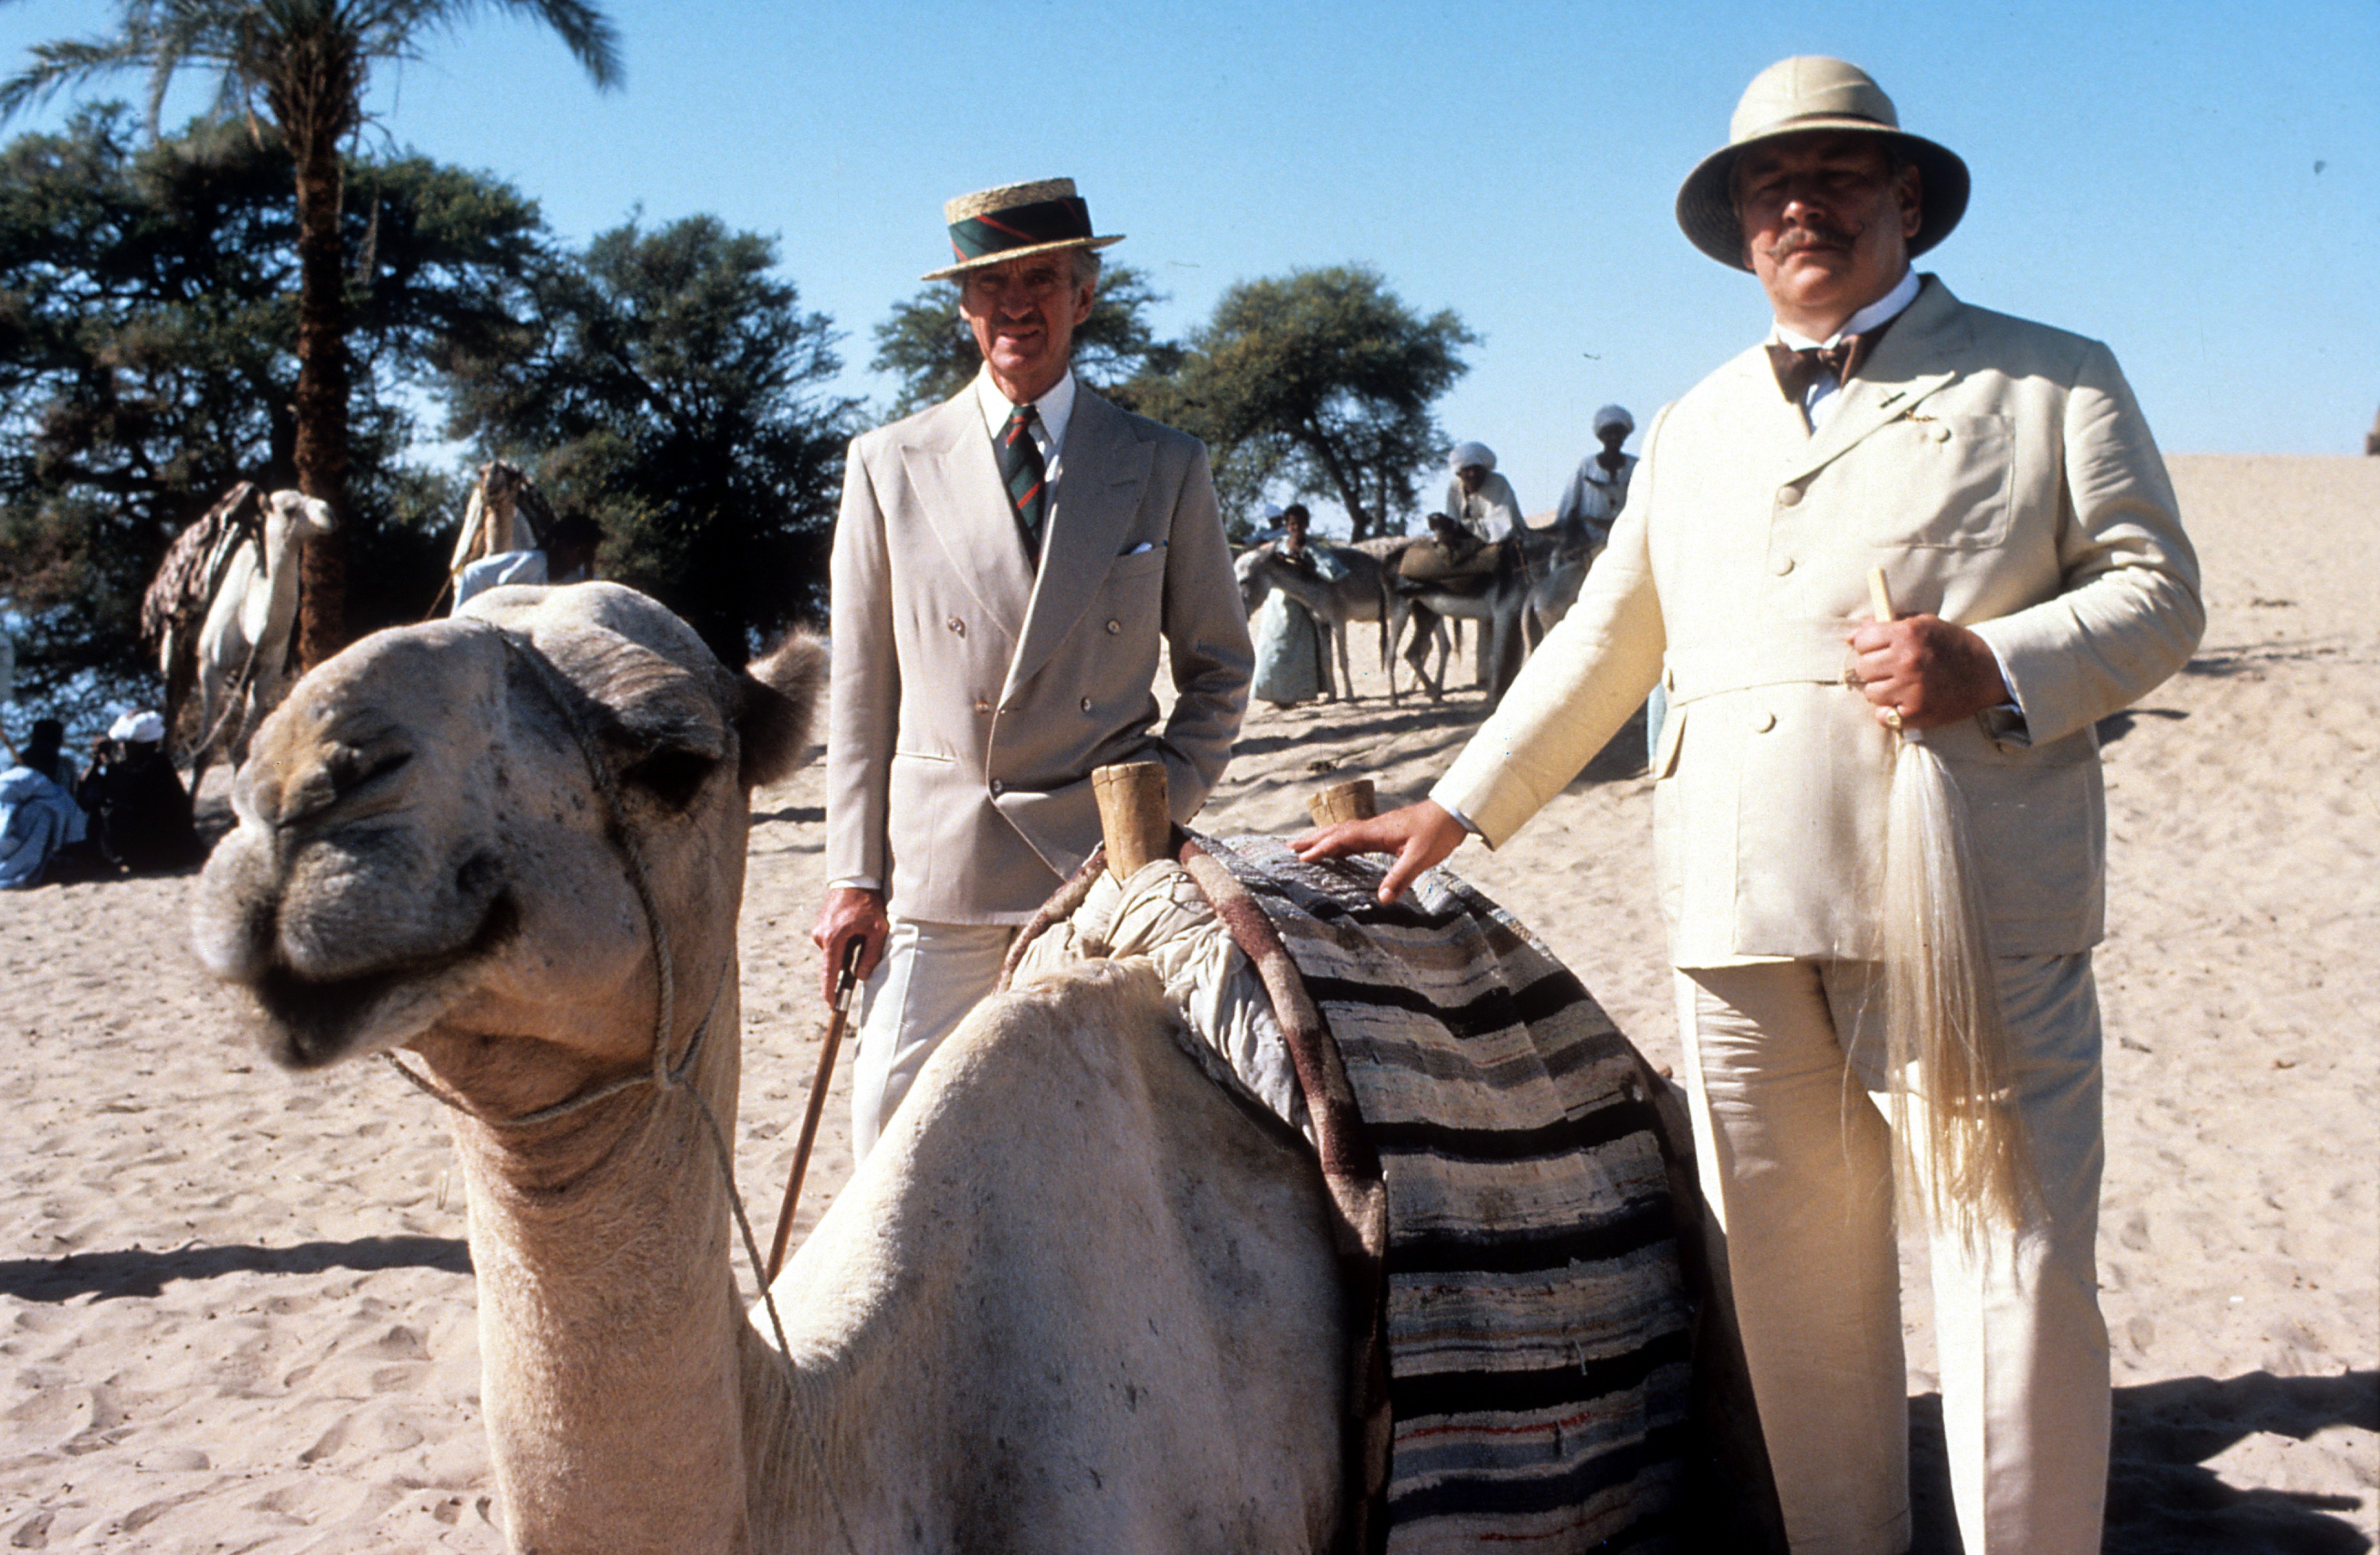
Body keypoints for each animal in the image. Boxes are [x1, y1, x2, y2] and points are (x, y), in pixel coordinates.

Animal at [186, 490, 338, 795]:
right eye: (290, 509)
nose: (329, 513)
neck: (253, 625)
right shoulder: (212, 669)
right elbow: (204, 751)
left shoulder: (267, 671)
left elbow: (241, 749)